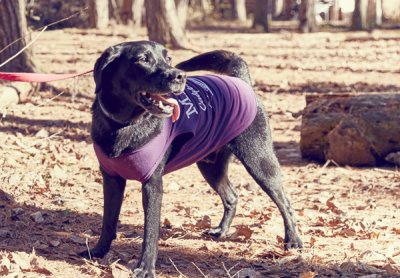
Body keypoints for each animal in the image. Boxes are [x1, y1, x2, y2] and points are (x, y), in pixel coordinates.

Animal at [79, 40, 302, 276]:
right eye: (142, 59)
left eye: (168, 58)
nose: (180, 76)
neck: (123, 125)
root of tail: (241, 80)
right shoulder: (111, 179)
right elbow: (108, 221)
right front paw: (98, 251)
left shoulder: (152, 184)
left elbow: (150, 231)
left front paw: (145, 268)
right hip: (211, 166)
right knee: (232, 197)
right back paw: (221, 231)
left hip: (259, 161)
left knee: (285, 202)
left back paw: (293, 241)